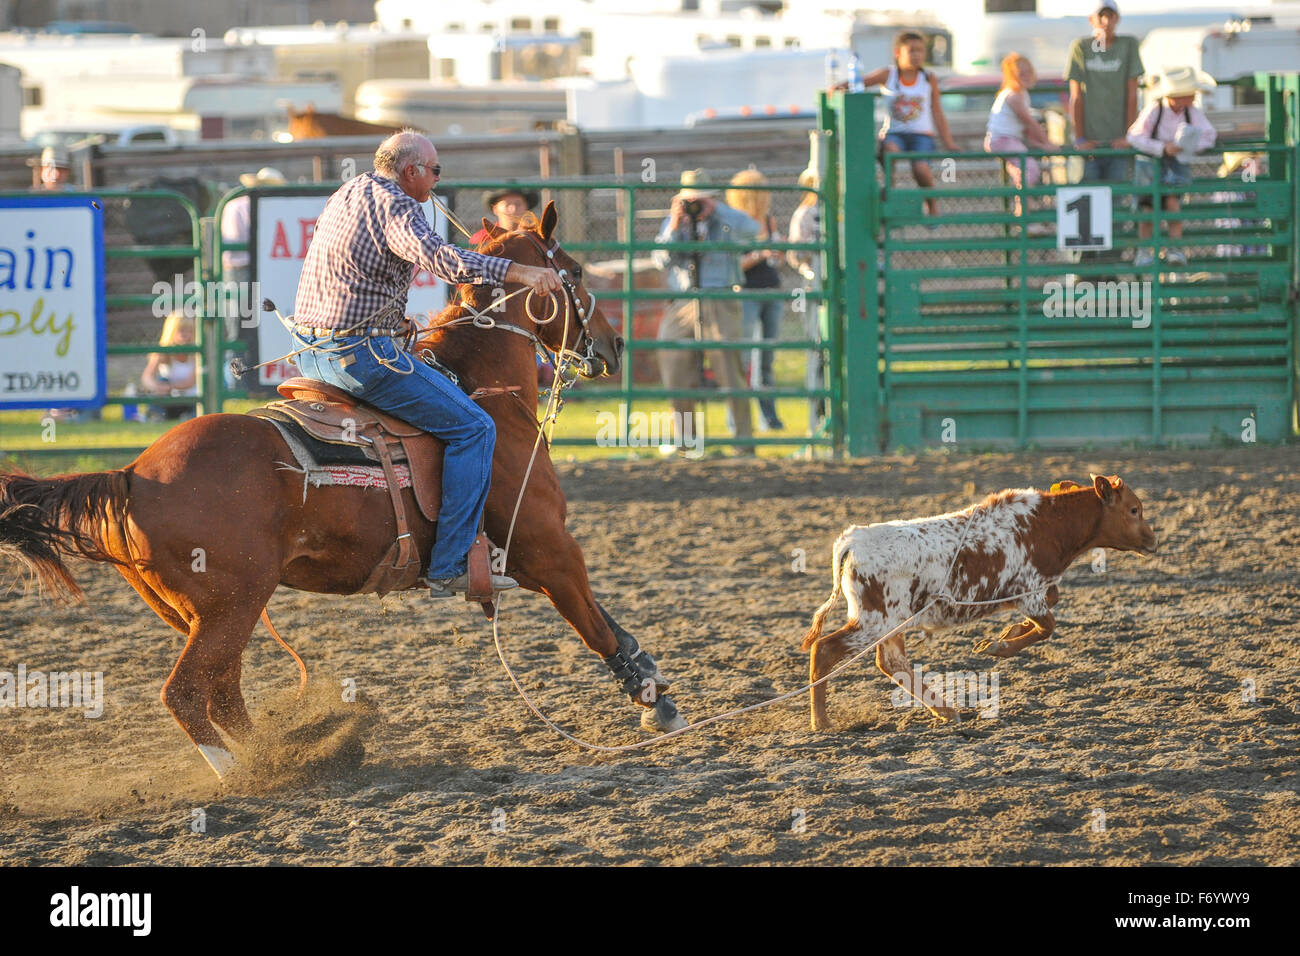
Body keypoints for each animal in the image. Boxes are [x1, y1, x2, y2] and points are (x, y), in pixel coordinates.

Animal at [0, 201, 691, 780]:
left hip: (204, 611)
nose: (614, 344)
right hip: (231, 603)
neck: (483, 391)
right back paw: (247, 774)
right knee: (189, 693)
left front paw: (654, 686)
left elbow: (607, 620)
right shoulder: (547, 548)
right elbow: (597, 627)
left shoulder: (537, 557)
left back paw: (287, 752)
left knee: (223, 690)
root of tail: (134, 474)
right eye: (574, 270)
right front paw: (653, 700)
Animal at [800, 473, 1159, 733]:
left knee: (892, 663)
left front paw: (1008, 632)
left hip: (891, 621)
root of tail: (853, 540)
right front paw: (999, 646)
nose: (1154, 540)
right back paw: (823, 722)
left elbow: (1050, 604)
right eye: (1134, 510)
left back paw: (945, 710)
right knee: (826, 649)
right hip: (876, 621)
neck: (1045, 525)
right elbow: (1047, 626)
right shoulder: (1028, 592)